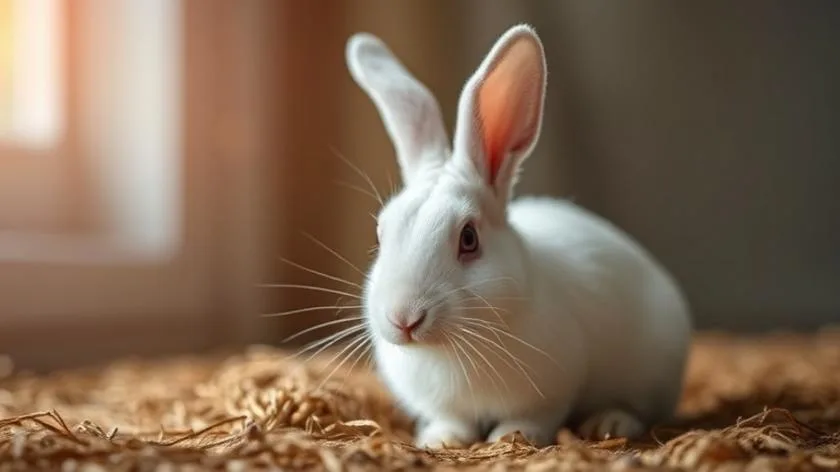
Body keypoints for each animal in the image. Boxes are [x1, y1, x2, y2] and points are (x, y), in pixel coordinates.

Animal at [344, 23, 692, 449]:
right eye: (380, 235)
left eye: (469, 239)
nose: (404, 318)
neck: (449, 348)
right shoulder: (445, 405)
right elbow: (451, 419)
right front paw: (440, 440)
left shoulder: (553, 389)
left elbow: (534, 418)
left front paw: (510, 437)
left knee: (640, 409)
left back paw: (609, 423)